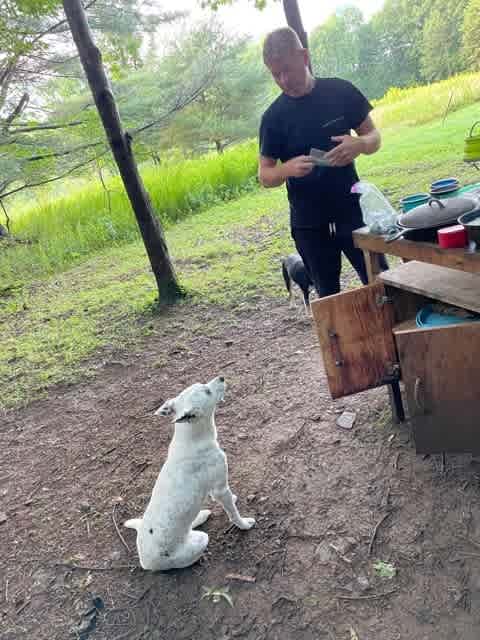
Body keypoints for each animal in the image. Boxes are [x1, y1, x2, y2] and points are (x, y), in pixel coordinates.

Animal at [125, 372, 256, 572]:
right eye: (207, 391)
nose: (222, 377)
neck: (191, 437)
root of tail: (144, 562)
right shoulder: (220, 489)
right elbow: (233, 513)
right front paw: (244, 524)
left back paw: (200, 515)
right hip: (201, 540)